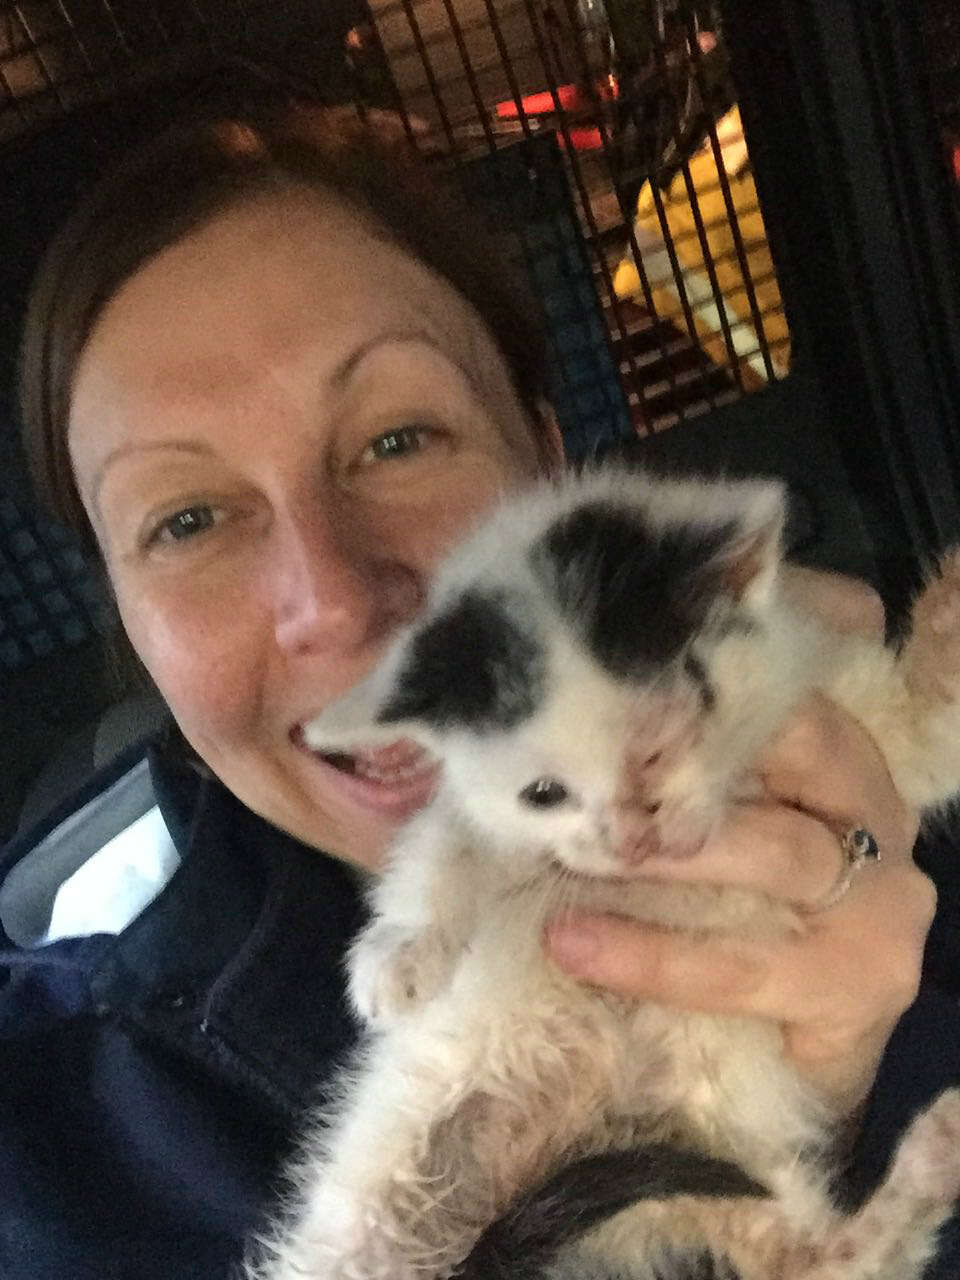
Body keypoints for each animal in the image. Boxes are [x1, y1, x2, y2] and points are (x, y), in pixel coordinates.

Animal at [252, 463, 960, 1280]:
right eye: (543, 793)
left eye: (657, 748)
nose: (631, 840)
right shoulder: (484, 814)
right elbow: (443, 851)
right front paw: (398, 959)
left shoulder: (846, 716)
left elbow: (933, 732)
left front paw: (953, 602)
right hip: (371, 1214)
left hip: (726, 1176)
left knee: (821, 1261)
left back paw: (933, 1158)